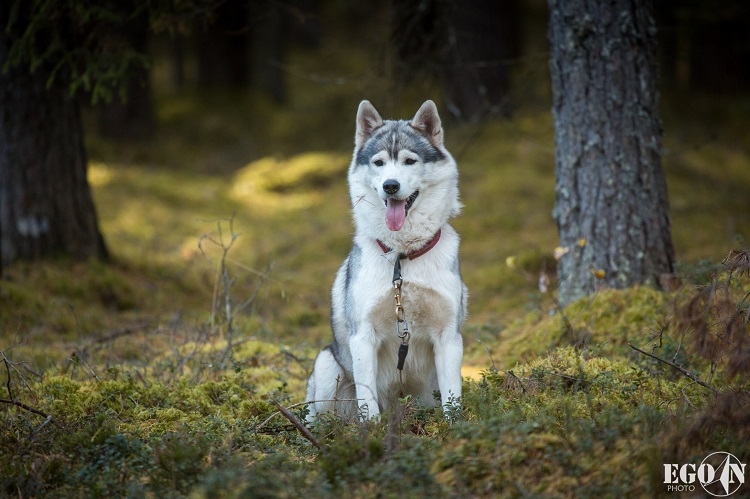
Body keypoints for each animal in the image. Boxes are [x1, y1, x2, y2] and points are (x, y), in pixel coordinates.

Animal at [304, 99, 468, 420]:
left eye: (409, 161)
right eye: (379, 163)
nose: (390, 186)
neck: (402, 257)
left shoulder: (448, 337)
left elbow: (452, 397)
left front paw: (457, 426)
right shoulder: (362, 337)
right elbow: (368, 399)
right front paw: (372, 429)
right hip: (327, 365)